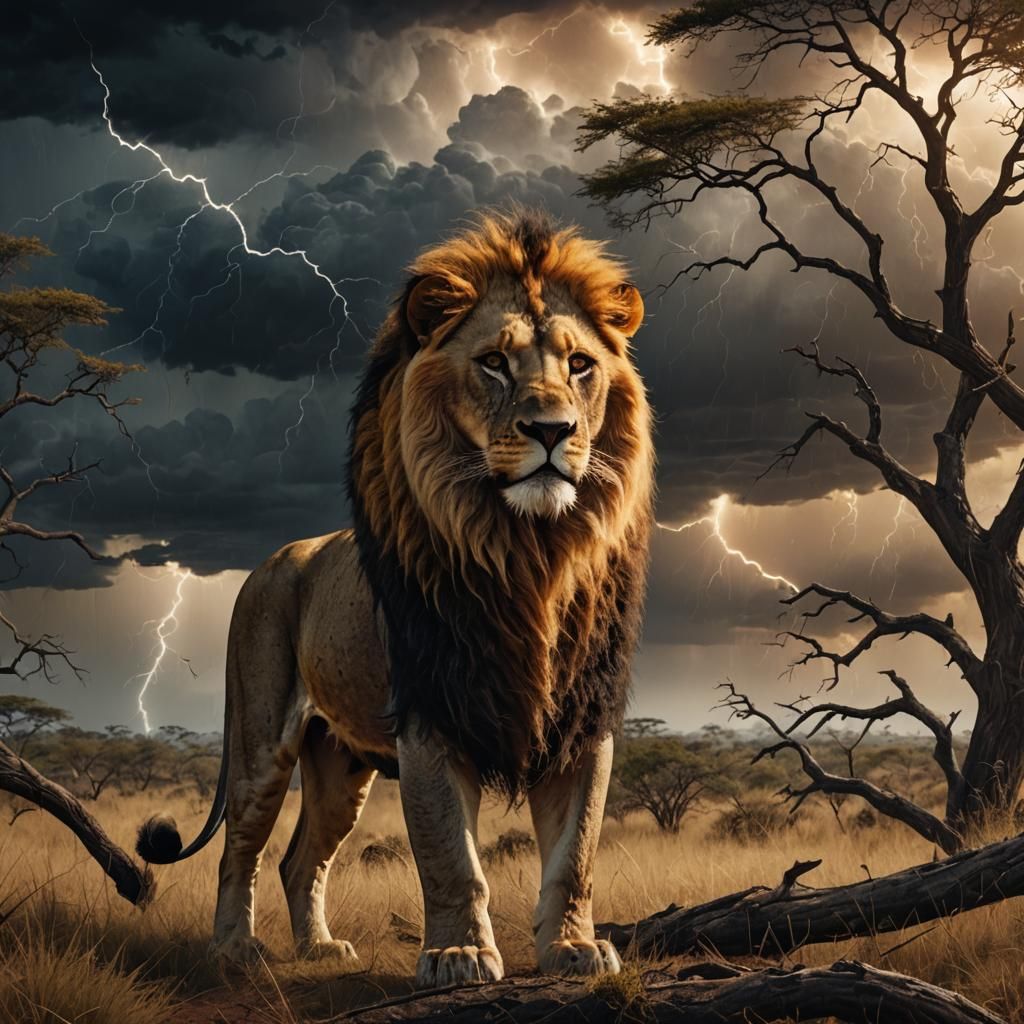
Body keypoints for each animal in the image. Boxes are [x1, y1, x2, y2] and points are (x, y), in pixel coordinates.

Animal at [136, 208, 654, 988]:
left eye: (580, 365)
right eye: (494, 363)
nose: (552, 430)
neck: (530, 553)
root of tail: (271, 562)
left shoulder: (581, 720)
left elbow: (576, 854)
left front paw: (574, 950)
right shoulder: (430, 715)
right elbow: (449, 856)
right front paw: (458, 955)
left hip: (340, 763)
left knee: (299, 860)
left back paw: (318, 948)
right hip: (261, 739)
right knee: (241, 849)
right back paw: (235, 949)